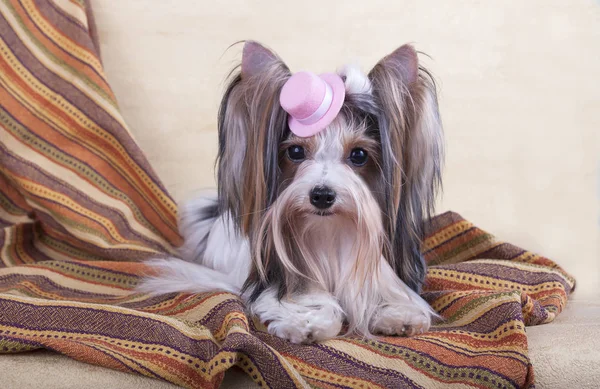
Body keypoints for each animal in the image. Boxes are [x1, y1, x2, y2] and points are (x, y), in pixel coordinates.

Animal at [138, 40, 442, 342]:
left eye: (359, 155)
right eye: (295, 151)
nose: (322, 195)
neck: (329, 233)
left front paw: (399, 315)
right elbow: (305, 300)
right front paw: (308, 322)